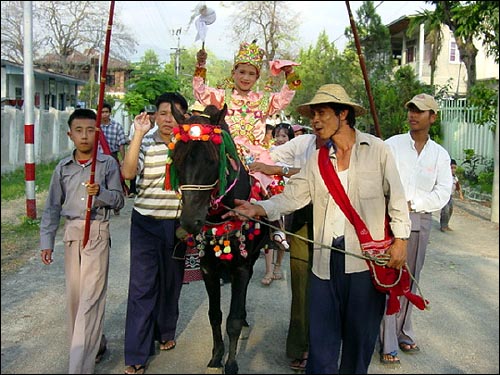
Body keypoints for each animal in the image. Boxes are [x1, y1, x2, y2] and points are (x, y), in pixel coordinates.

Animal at [170, 104, 272, 374]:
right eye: (177, 160)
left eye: (212, 161)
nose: (190, 222)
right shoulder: (208, 268)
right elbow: (214, 315)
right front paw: (216, 356)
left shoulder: (241, 267)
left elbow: (233, 320)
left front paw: (232, 363)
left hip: (251, 258)